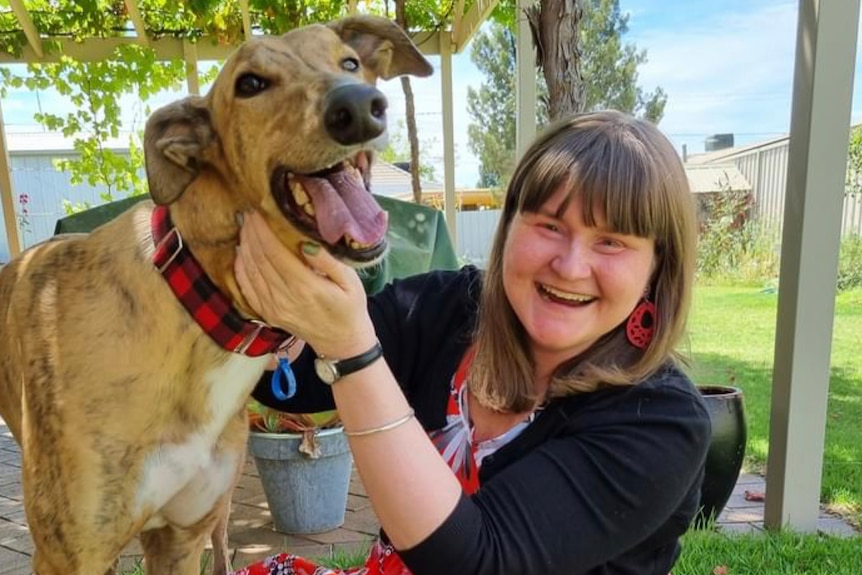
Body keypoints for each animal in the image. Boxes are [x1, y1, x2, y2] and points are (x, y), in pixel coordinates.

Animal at [0, 14, 432, 575]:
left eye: (351, 62)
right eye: (249, 84)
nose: (359, 108)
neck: (197, 307)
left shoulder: (180, 538)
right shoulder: (69, 555)